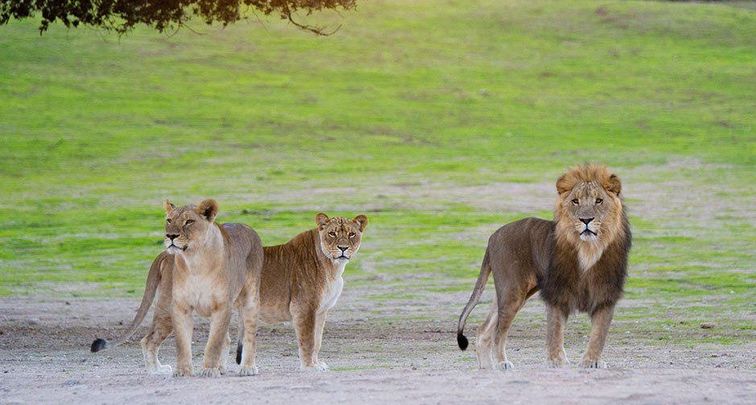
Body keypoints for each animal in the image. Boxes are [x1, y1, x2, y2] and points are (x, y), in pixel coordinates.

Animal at [91, 199, 264, 377]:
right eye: (169, 220)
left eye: (189, 221)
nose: (170, 236)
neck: (195, 261)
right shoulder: (180, 305)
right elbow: (182, 342)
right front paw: (183, 371)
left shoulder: (222, 305)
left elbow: (214, 342)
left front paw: (209, 370)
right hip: (166, 306)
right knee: (148, 340)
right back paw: (157, 371)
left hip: (250, 299)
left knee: (248, 335)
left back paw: (247, 367)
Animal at [235, 212, 368, 371]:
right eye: (332, 233)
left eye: (351, 234)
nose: (343, 248)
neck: (333, 268)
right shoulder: (303, 307)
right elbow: (308, 339)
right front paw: (309, 366)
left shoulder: (321, 311)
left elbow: (317, 340)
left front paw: (317, 363)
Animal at [456, 164, 631, 369]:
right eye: (575, 201)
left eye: (599, 201)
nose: (586, 220)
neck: (589, 250)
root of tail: (493, 236)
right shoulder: (557, 292)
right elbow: (555, 331)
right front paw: (557, 361)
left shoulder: (605, 294)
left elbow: (598, 333)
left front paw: (592, 361)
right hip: (512, 292)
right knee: (499, 332)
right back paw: (501, 362)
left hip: (513, 292)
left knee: (484, 330)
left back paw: (486, 367)